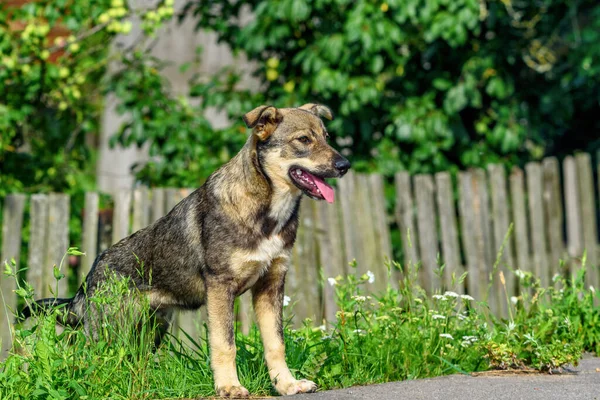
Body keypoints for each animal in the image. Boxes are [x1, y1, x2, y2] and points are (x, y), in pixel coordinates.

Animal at [22, 103, 352, 396]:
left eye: (326, 137)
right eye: (304, 140)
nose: (345, 166)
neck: (266, 211)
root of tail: (91, 276)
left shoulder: (271, 285)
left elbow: (276, 344)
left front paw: (286, 385)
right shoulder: (220, 287)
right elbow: (225, 344)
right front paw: (228, 387)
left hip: (148, 333)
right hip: (108, 331)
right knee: (81, 358)